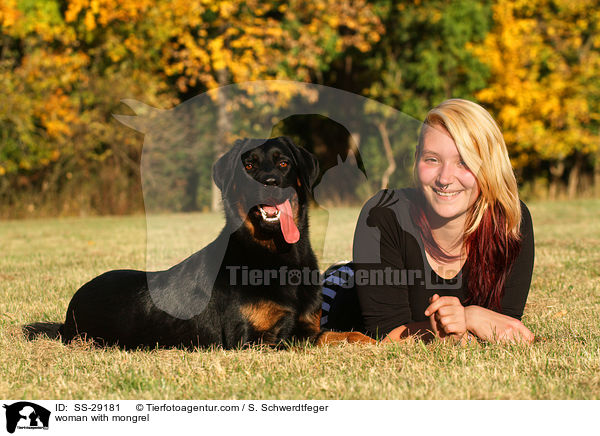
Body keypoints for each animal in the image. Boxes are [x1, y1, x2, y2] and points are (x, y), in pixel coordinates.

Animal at [57, 138, 376, 350]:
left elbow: (339, 334)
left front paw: (372, 340)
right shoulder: (251, 339)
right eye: (249, 165)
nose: (269, 183)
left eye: (284, 163)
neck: (276, 256)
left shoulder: (308, 326)